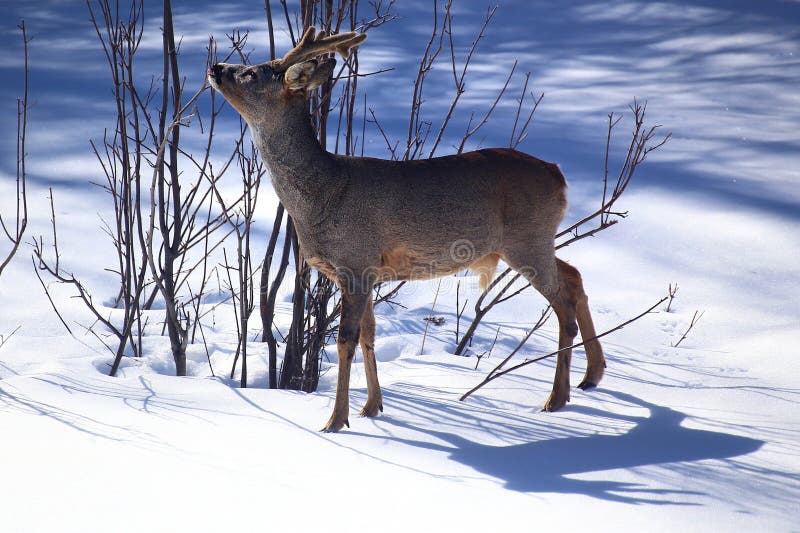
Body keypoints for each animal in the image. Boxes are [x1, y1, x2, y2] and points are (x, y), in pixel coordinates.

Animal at [209, 27, 604, 430]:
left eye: (251, 73)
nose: (216, 66)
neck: (325, 192)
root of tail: (559, 176)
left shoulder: (356, 261)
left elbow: (346, 339)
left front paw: (336, 420)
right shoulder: (367, 271)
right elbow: (368, 335)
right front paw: (371, 407)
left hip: (527, 239)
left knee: (563, 304)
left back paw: (557, 398)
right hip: (533, 241)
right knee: (574, 276)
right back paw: (592, 376)